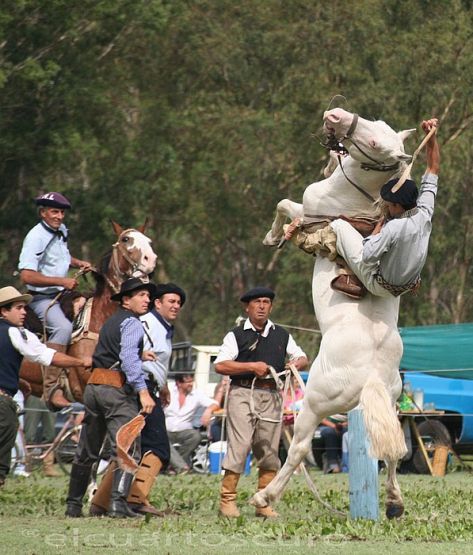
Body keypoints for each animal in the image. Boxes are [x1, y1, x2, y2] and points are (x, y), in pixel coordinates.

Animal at [253, 109, 414, 520]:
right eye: (375, 123)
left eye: (374, 142)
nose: (335, 115)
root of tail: (371, 376)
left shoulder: (306, 210)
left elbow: (283, 205)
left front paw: (273, 236)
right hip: (389, 404)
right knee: (392, 452)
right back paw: (394, 503)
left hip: (313, 406)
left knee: (297, 451)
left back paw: (264, 498)